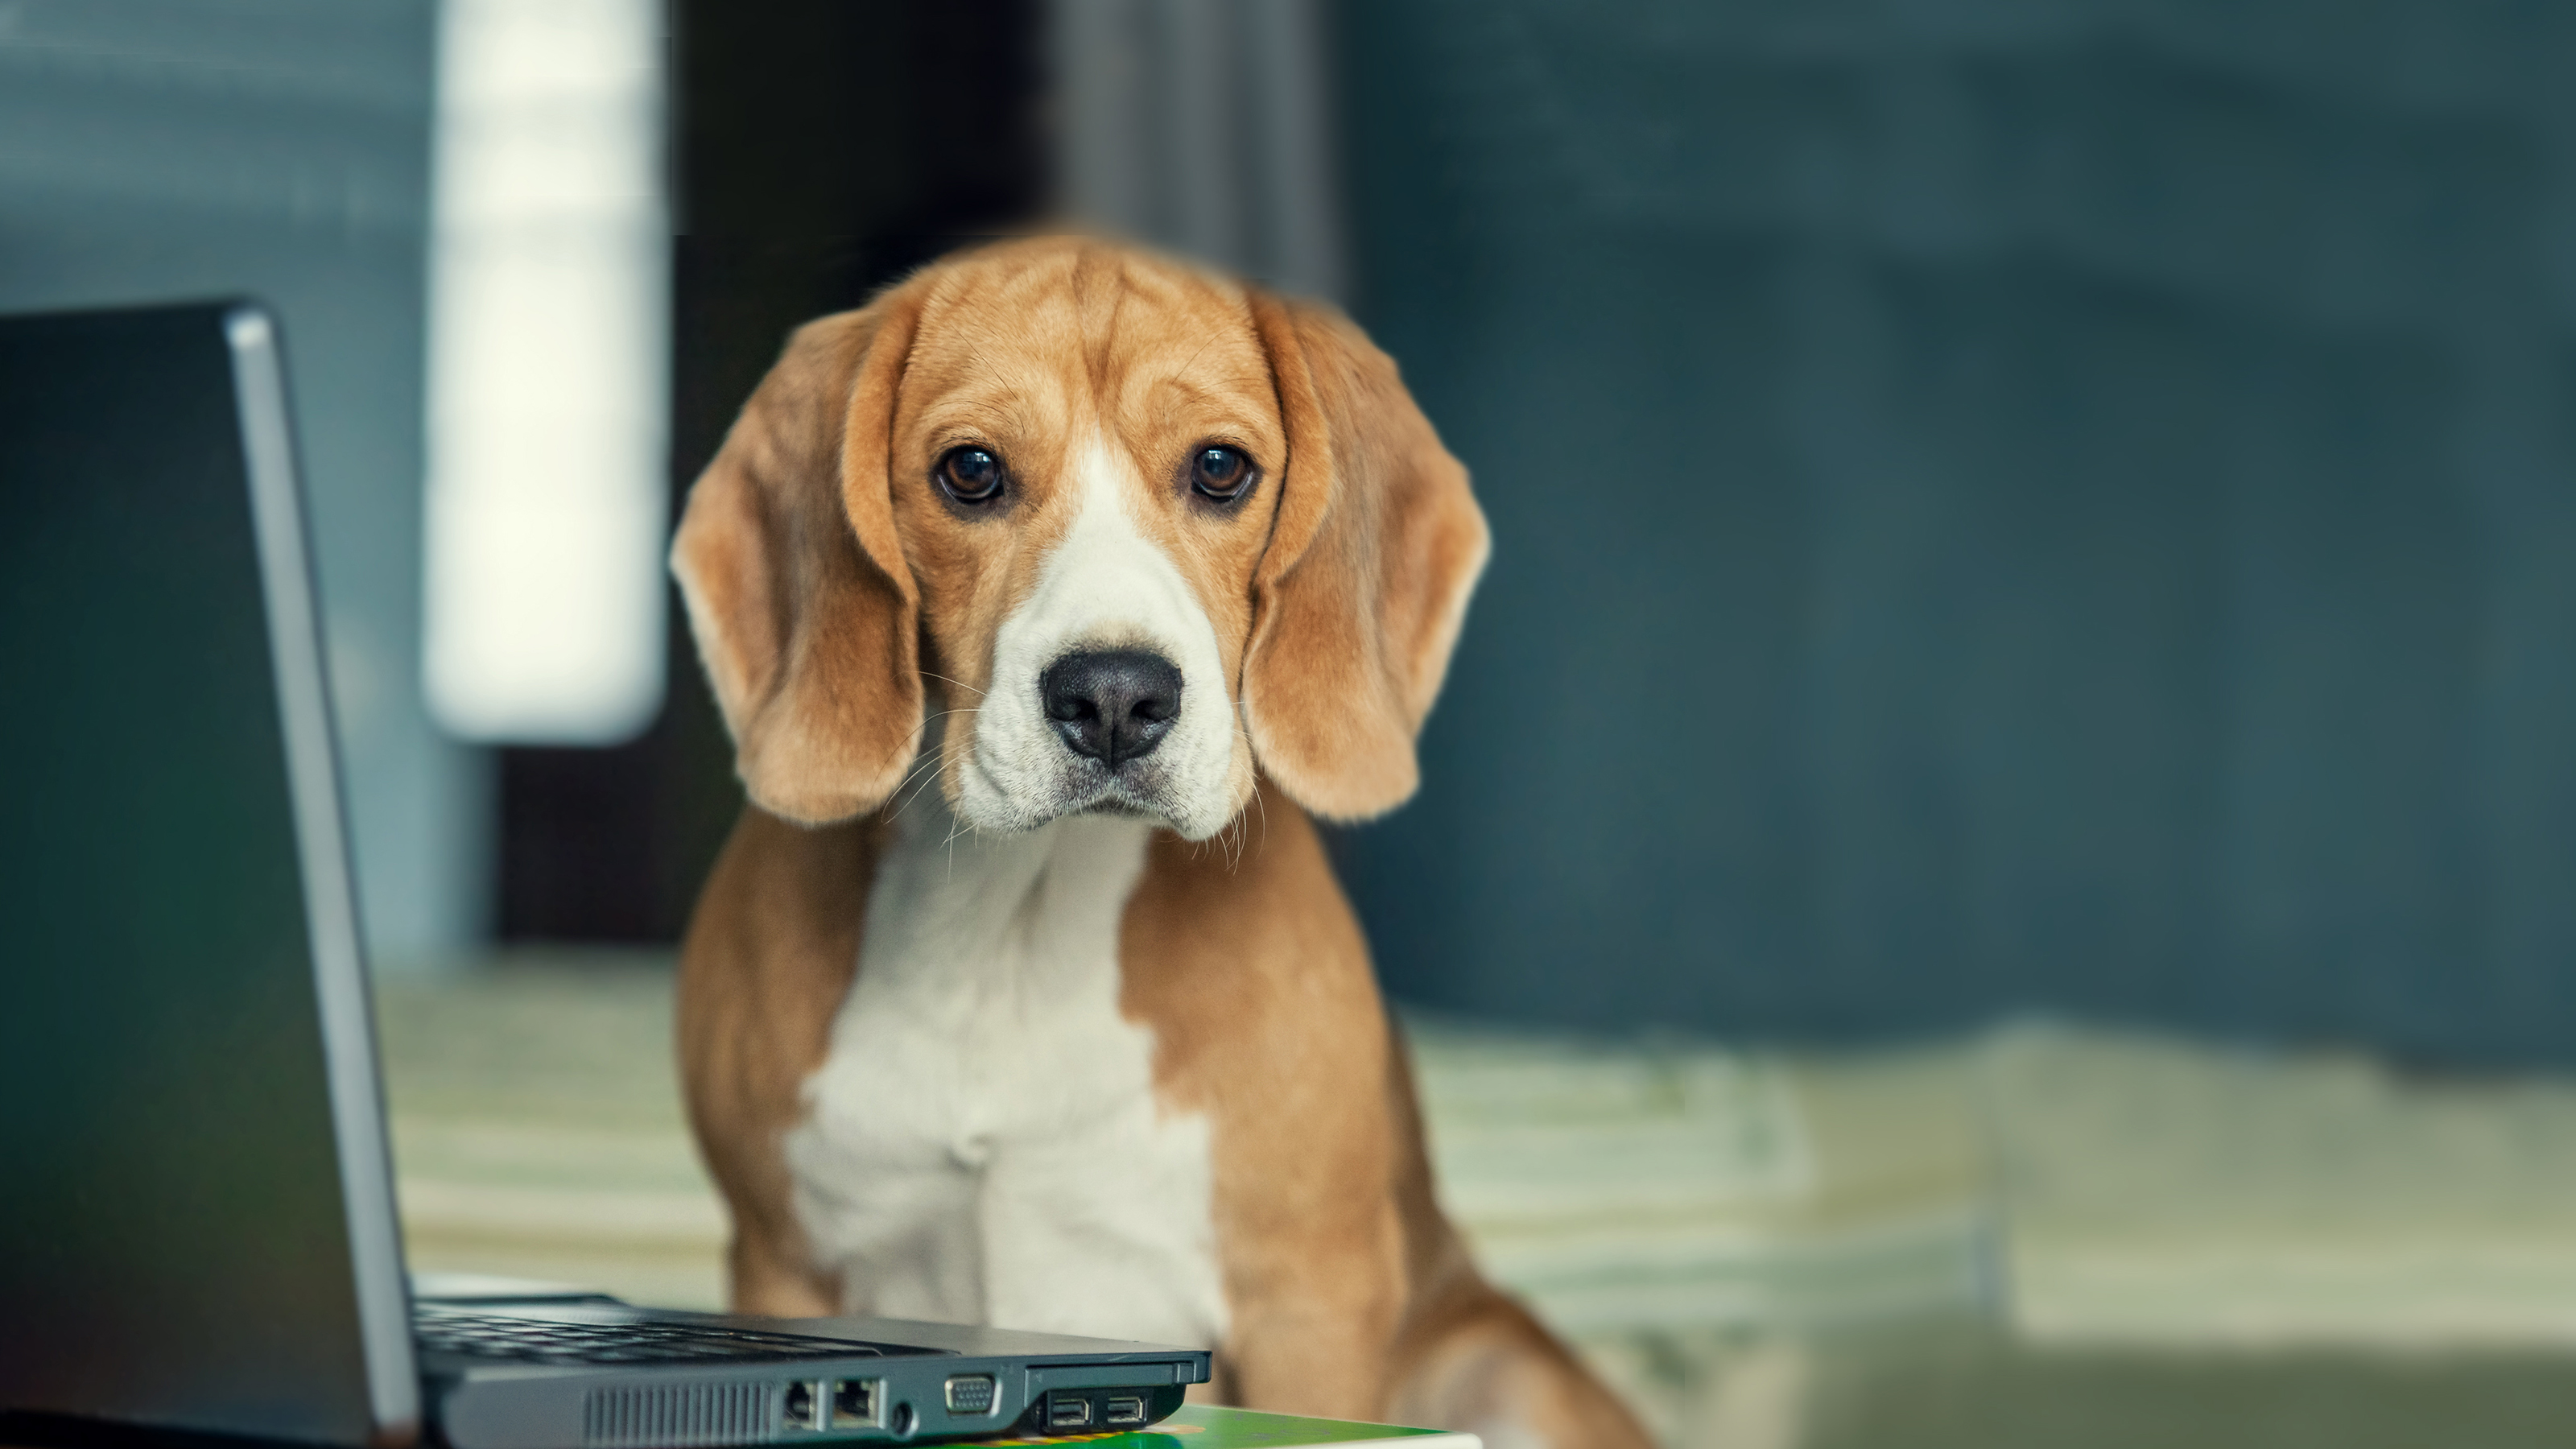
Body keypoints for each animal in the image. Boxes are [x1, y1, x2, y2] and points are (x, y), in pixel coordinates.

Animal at [670, 237, 1649, 1443]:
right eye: (970, 472)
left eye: (1221, 468)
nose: (1114, 697)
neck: (1018, 921)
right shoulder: (782, 1270)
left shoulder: (1307, 1300)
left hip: (1503, 1373)